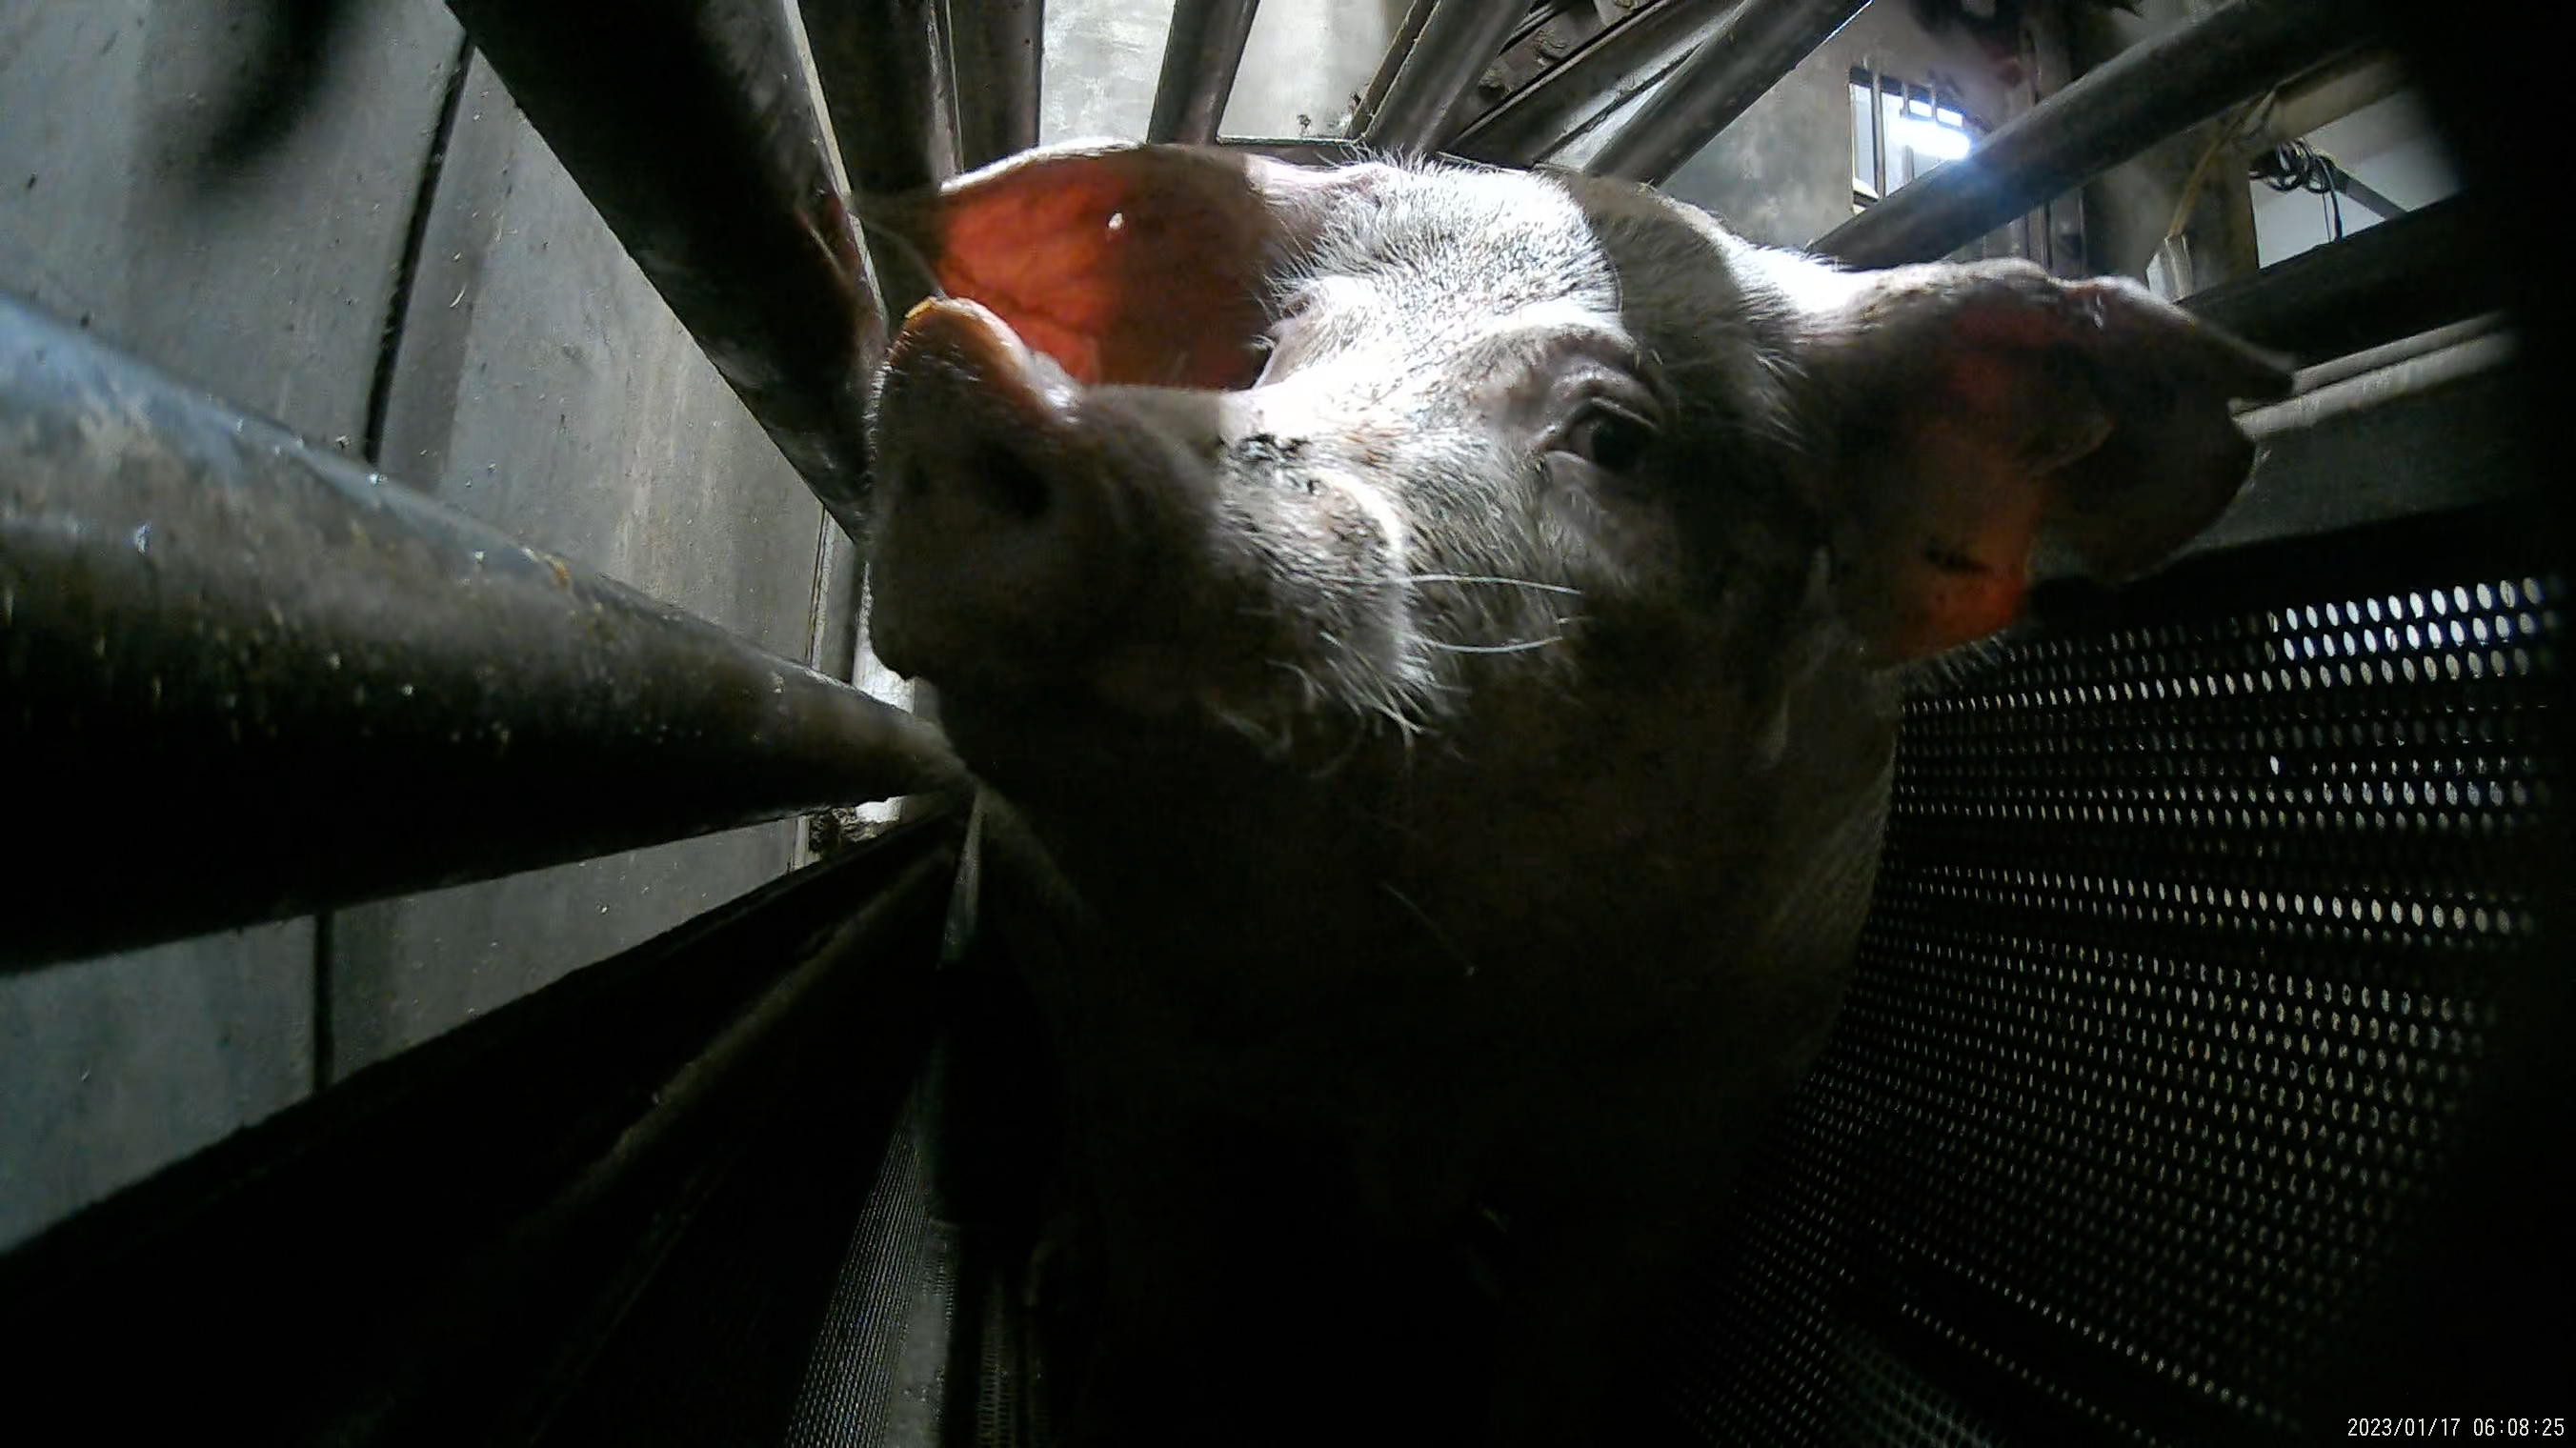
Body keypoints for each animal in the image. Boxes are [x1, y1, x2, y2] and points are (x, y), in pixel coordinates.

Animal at [865, 137, 2297, 1442]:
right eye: (1269, 358)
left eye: (1618, 439)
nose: (957, 362)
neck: (1427, 1031)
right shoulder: (1115, 1015)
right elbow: (1167, 1294)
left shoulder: (1712, 1103)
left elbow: (1564, 1360)